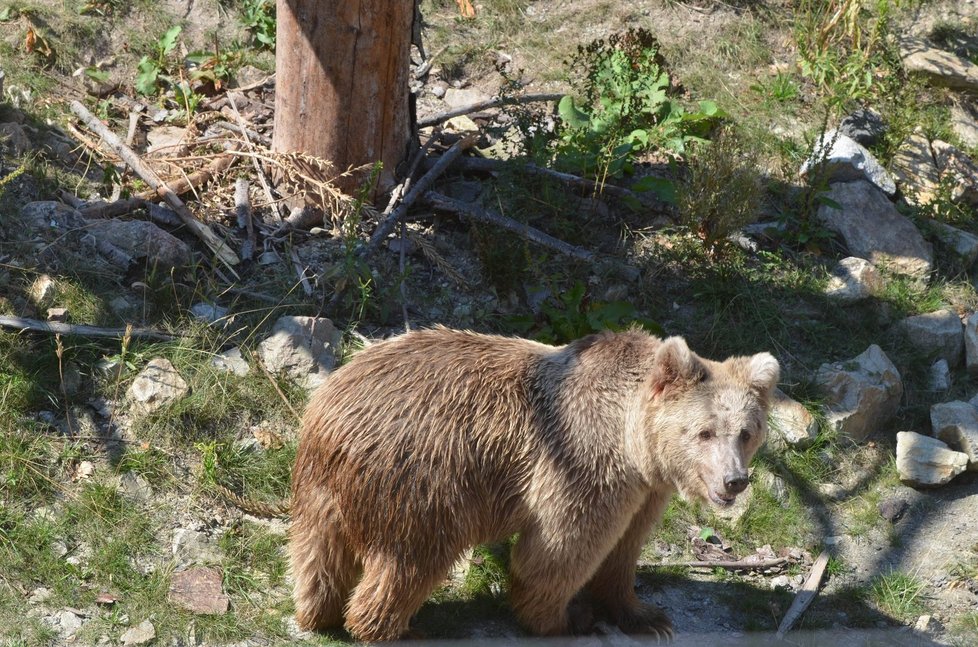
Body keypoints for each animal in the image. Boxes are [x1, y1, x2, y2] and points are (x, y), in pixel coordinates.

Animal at [290, 326, 776, 640]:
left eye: (746, 432)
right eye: (705, 431)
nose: (735, 480)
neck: (634, 443)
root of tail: (328, 408)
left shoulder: (645, 490)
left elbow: (623, 549)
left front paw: (646, 615)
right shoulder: (580, 461)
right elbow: (560, 547)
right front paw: (566, 619)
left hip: (323, 488)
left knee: (318, 554)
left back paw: (319, 614)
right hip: (423, 477)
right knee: (412, 558)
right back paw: (392, 627)